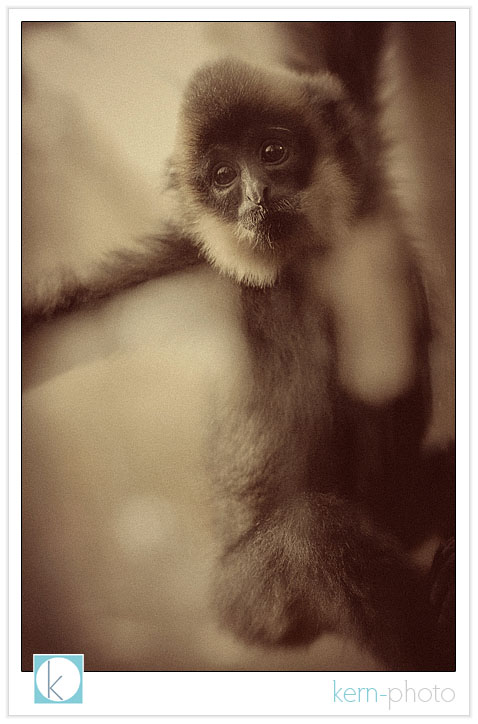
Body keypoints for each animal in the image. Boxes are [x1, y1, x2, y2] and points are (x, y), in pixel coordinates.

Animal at [20, 59, 450, 672]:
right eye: (224, 176)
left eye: (273, 152)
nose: (256, 194)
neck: (296, 273)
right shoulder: (187, 267)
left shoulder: (370, 202)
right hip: (249, 601)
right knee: (310, 538)